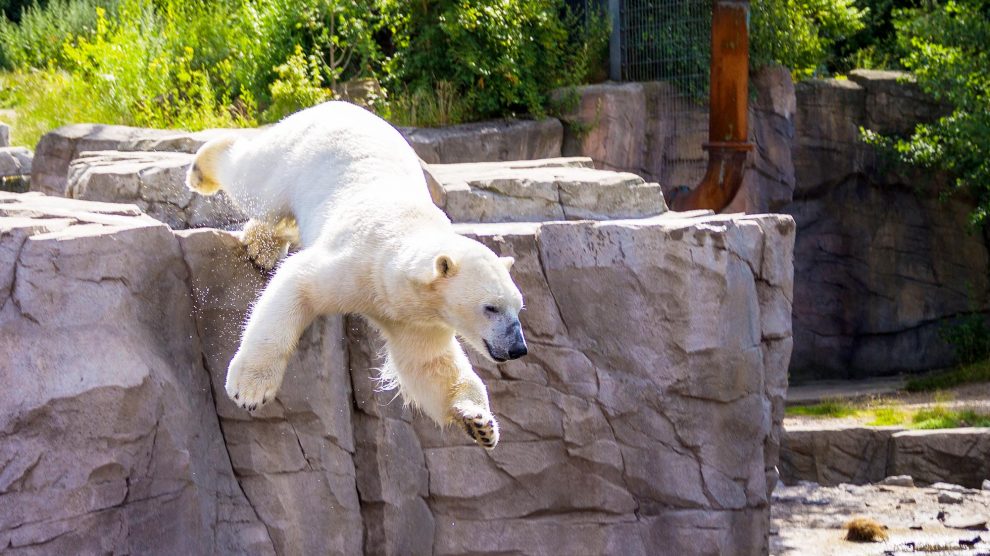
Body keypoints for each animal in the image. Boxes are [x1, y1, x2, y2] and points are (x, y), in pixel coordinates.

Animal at [186, 101, 528, 448]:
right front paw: (250, 391)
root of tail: (338, 105)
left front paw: (480, 423)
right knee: (256, 182)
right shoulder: (358, 261)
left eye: (518, 307)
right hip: (299, 155)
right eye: (490, 307)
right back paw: (203, 169)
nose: (518, 348)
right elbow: (296, 284)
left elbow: (430, 365)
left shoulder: (415, 317)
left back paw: (262, 246)